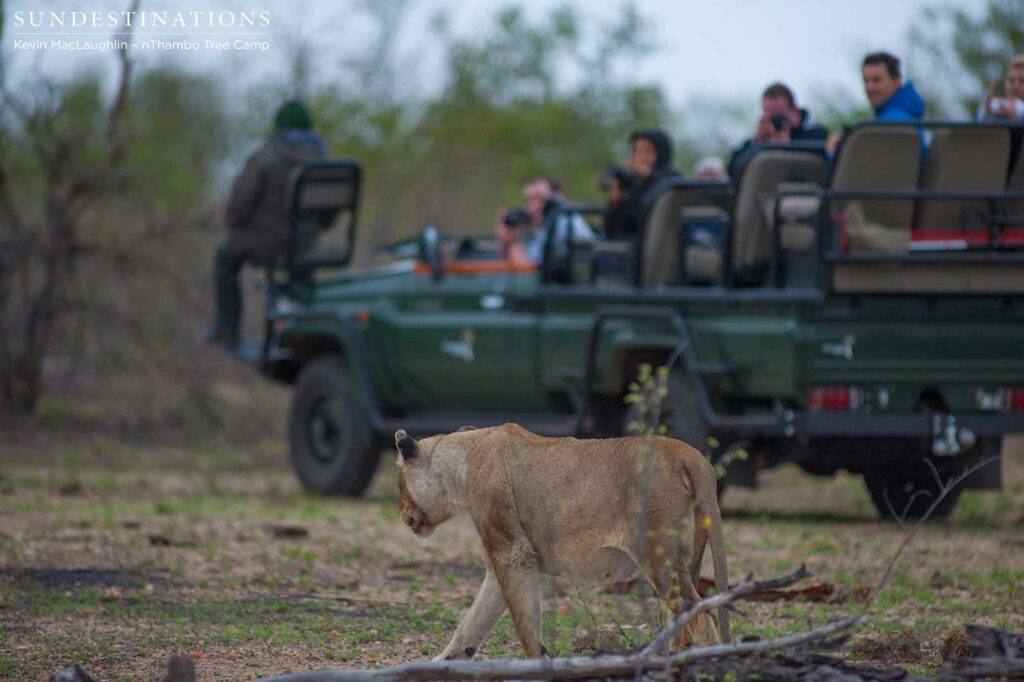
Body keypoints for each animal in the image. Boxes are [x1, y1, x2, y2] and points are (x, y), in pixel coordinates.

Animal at [394, 423, 729, 660]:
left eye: (400, 485)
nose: (400, 512)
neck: (464, 461)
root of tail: (689, 454)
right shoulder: (499, 564)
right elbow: (470, 626)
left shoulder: (513, 554)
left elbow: (525, 629)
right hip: (687, 559)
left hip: (658, 556)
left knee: (697, 616)